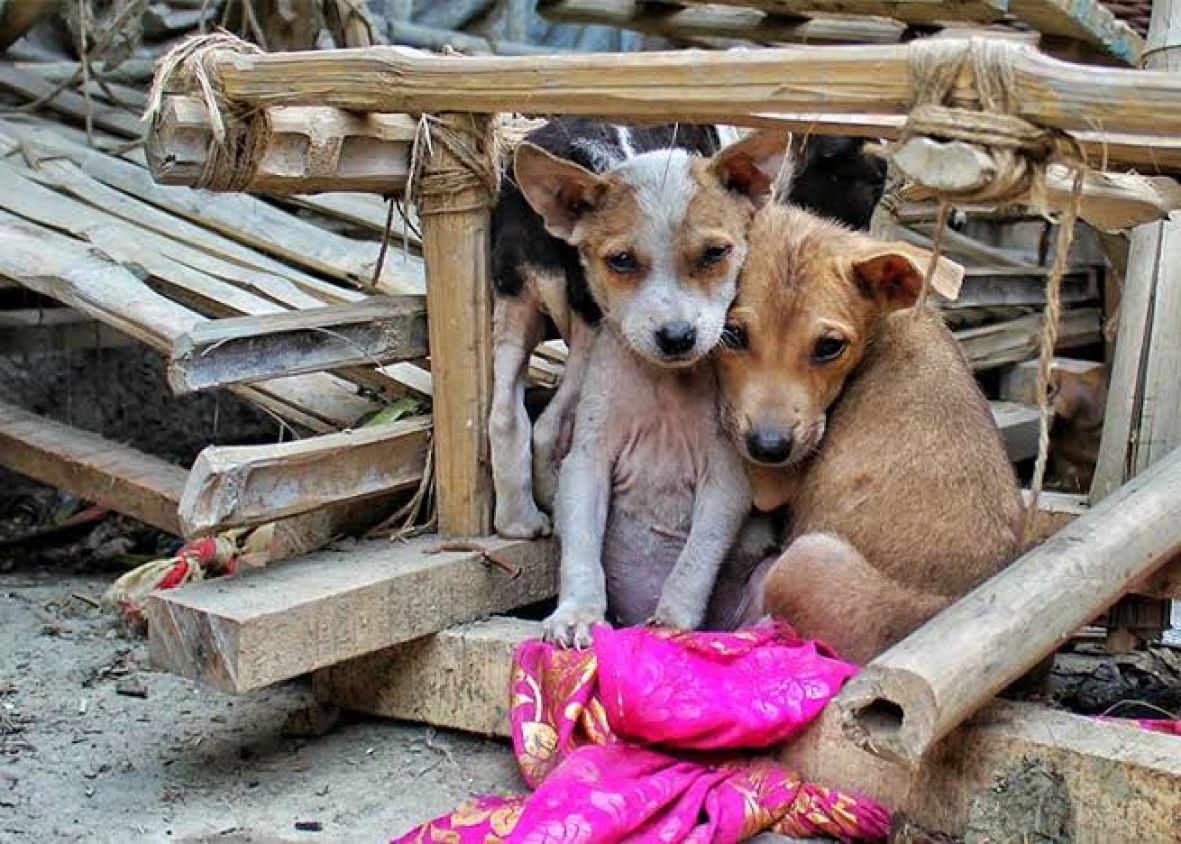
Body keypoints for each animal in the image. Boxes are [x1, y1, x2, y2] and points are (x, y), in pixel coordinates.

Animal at [713, 204, 1029, 665]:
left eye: (829, 347)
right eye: (732, 335)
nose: (770, 448)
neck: (887, 323)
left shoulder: (773, 479)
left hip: (803, 560)